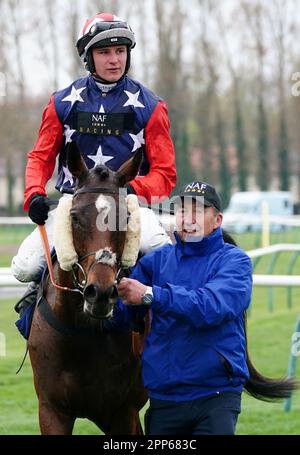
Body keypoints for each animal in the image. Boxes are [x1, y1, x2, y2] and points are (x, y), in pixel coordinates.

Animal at [28, 144, 148, 436]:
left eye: (126, 219)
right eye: (74, 217)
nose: (101, 293)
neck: (84, 331)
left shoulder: (122, 412)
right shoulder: (51, 410)